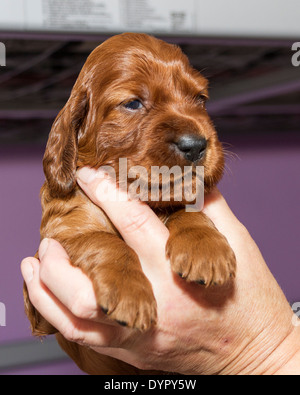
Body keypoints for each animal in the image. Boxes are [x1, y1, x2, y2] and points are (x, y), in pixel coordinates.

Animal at [23, 33, 237, 374]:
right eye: (133, 103)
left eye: (200, 98)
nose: (196, 145)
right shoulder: (44, 281)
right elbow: (104, 241)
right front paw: (129, 292)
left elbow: (187, 212)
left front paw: (206, 249)